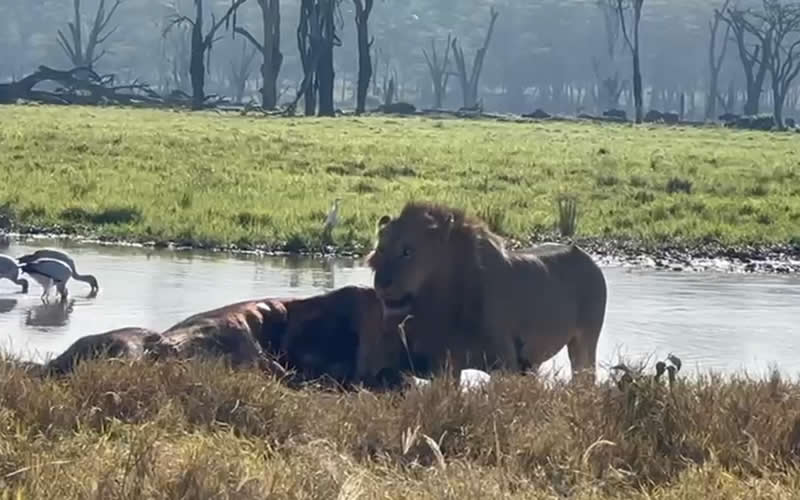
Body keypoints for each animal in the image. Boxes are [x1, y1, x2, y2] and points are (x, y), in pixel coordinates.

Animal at [357, 201, 608, 383]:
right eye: (381, 249)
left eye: (407, 251)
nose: (382, 283)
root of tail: (587, 257)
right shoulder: (446, 367)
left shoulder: (505, 365)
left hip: (585, 341)